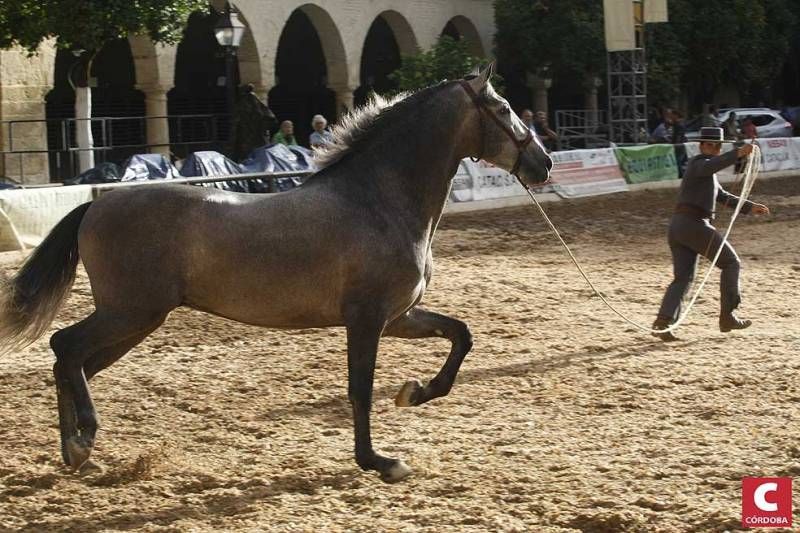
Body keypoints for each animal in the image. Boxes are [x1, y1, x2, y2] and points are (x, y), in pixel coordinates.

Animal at [0, 63, 552, 482]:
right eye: (504, 109)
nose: (543, 163)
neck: (377, 200)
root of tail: (95, 206)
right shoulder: (367, 319)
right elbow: (359, 389)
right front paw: (380, 462)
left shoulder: (399, 316)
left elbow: (461, 335)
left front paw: (415, 393)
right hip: (130, 313)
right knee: (66, 349)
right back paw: (81, 442)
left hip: (136, 321)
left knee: (71, 363)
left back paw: (74, 451)